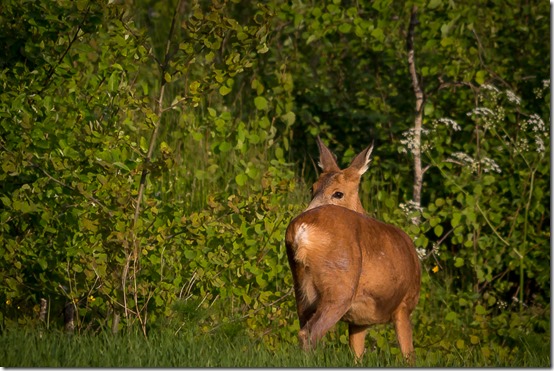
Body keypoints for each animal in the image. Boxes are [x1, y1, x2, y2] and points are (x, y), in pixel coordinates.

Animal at [284, 137, 418, 364]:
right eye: (313, 189)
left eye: (338, 193)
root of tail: (302, 230)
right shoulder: (404, 305)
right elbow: (408, 355)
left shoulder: (358, 320)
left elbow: (357, 355)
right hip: (340, 287)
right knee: (309, 334)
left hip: (301, 289)